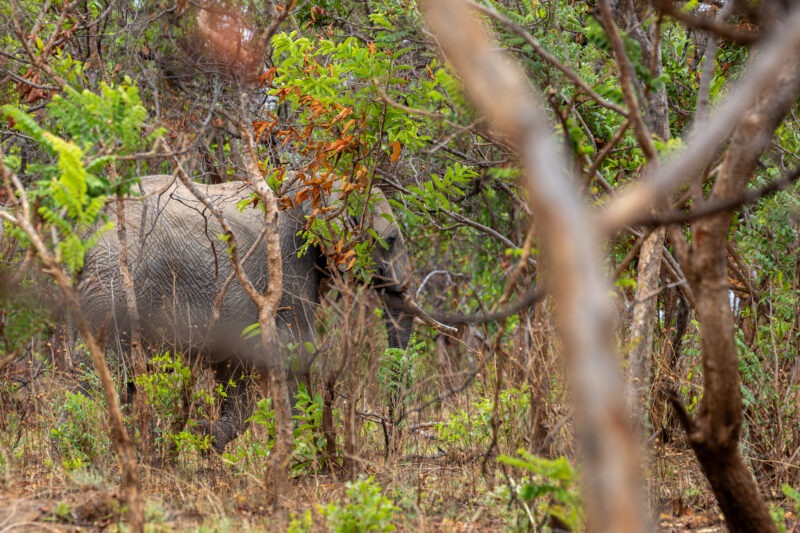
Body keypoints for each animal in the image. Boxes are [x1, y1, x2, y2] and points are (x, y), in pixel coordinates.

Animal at [76, 174, 416, 448]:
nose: (391, 429)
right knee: (101, 372)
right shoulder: (288, 263)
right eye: (390, 239)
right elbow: (293, 348)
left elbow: (234, 366)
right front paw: (292, 450)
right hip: (112, 289)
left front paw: (206, 437)